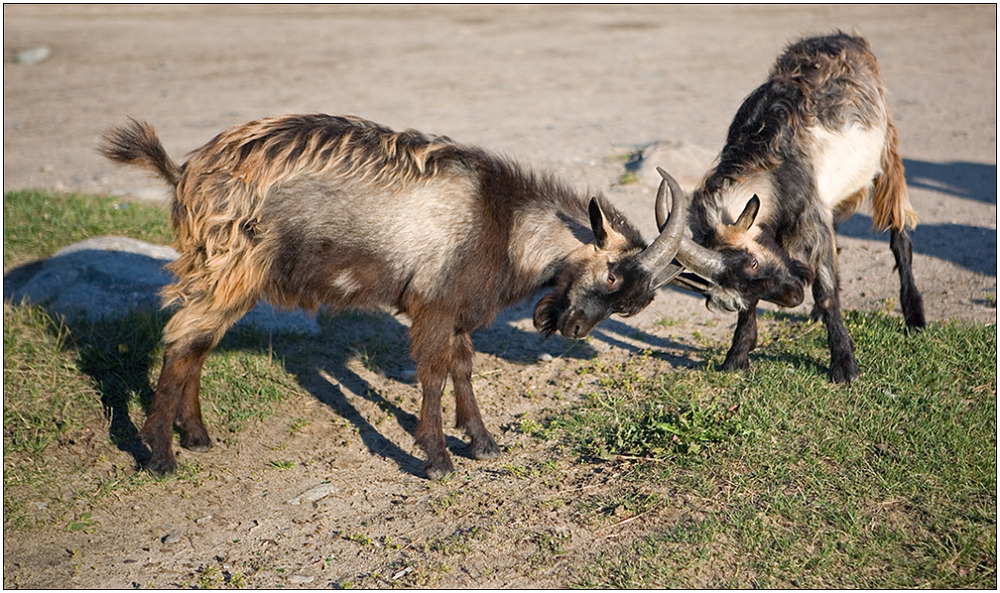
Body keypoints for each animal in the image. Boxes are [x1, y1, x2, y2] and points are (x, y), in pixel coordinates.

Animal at [101, 113, 692, 478]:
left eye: (632, 303)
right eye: (612, 277)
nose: (571, 330)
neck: (500, 220)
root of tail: (183, 172)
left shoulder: (458, 309)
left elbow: (462, 368)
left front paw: (481, 442)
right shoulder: (433, 304)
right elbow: (432, 372)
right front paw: (437, 458)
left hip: (224, 277)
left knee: (196, 347)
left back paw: (196, 436)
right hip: (227, 268)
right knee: (182, 341)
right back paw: (160, 456)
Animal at [660, 32, 924, 382]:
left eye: (753, 262)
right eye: (730, 301)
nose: (794, 296)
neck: (771, 167)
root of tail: (845, 38)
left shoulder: (811, 219)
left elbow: (826, 291)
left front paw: (844, 365)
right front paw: (736, 356)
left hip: (886, 152)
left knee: (899, 233)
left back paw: (914, 317)